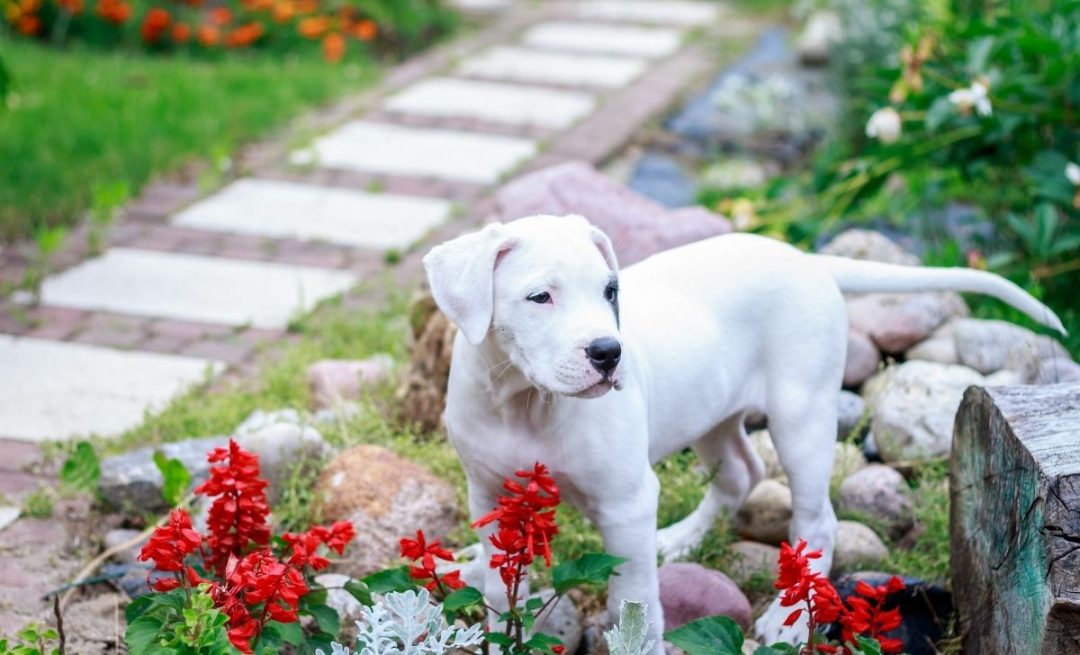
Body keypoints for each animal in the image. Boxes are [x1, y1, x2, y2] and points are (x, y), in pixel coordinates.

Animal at [421, 217, 1062, 652]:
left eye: (609, 291)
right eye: (540, 297)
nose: (609, 353)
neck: (525, 401)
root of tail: (809, 260)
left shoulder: (626, 503)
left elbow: (633, 599)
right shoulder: (490, 496)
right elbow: (502, 584)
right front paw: (501, 625)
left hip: (802, 417)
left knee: (816, 519)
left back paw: (786, 620)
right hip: (711, 410)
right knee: (739, 473)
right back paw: (679, 541)